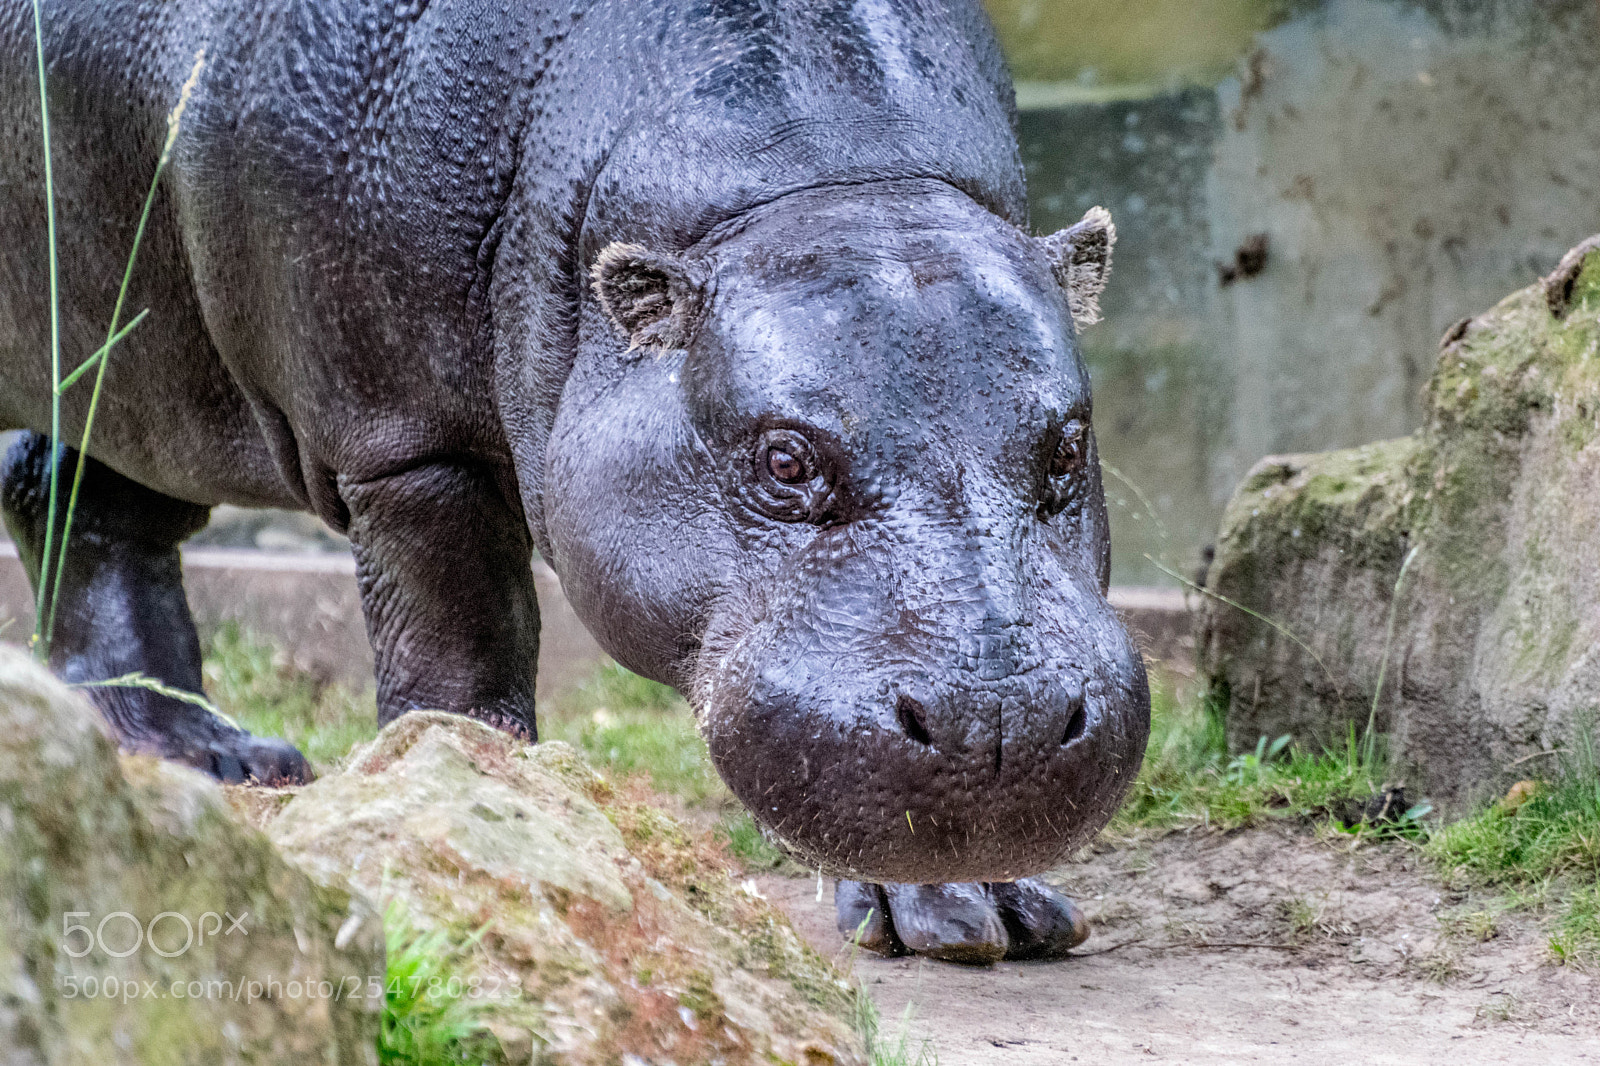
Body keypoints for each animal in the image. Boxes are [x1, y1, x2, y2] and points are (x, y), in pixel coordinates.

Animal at [0, 0, 1150, 963]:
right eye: (784, 459)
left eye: (1066, 444)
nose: (998, 726)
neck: (824, 180)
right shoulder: (405, 445)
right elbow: (458, 644)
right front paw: (476, 811)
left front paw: (977, 911)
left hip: (123, 361)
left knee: (84, 505)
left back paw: (207, 759)